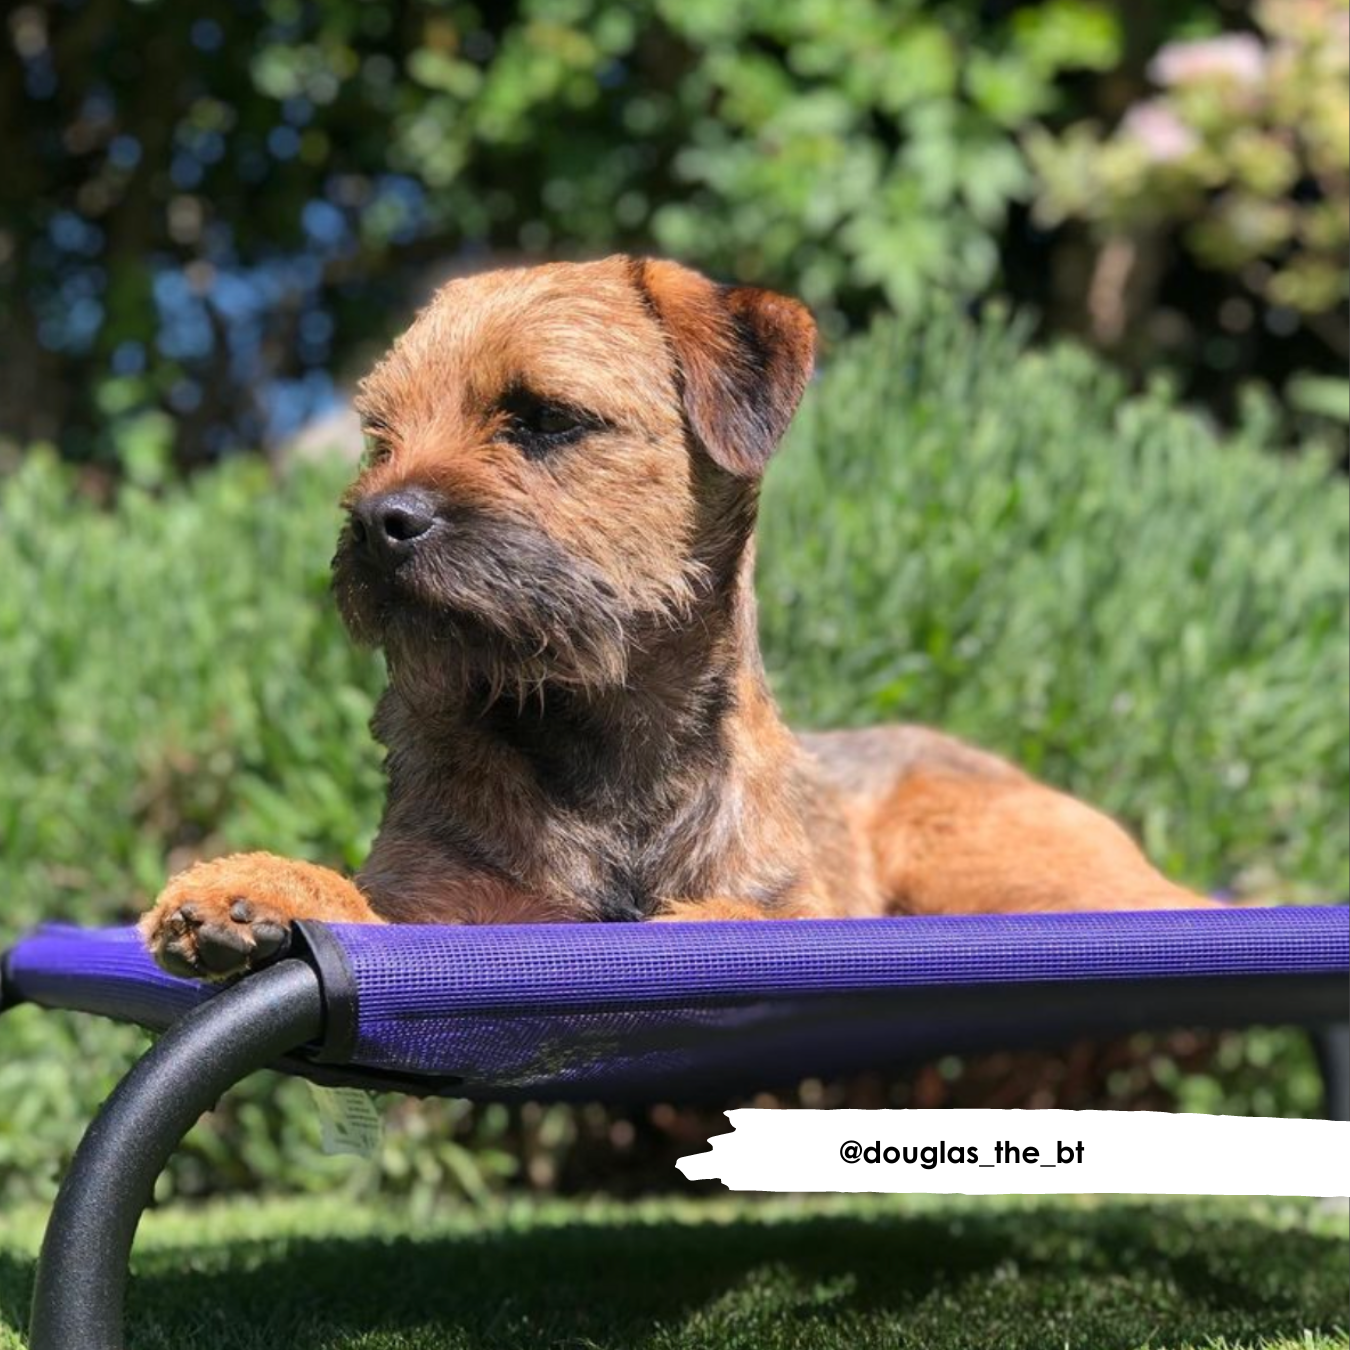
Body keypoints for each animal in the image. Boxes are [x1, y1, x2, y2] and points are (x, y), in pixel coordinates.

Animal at [139, 253, 1215, 977]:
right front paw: (254, 886)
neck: (605, 737)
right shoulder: (444, 905)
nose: (377, 522)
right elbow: (369, 906)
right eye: (378, 437)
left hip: (987, 860)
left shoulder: (810, 898)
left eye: (543, 418)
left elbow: (785, 920)